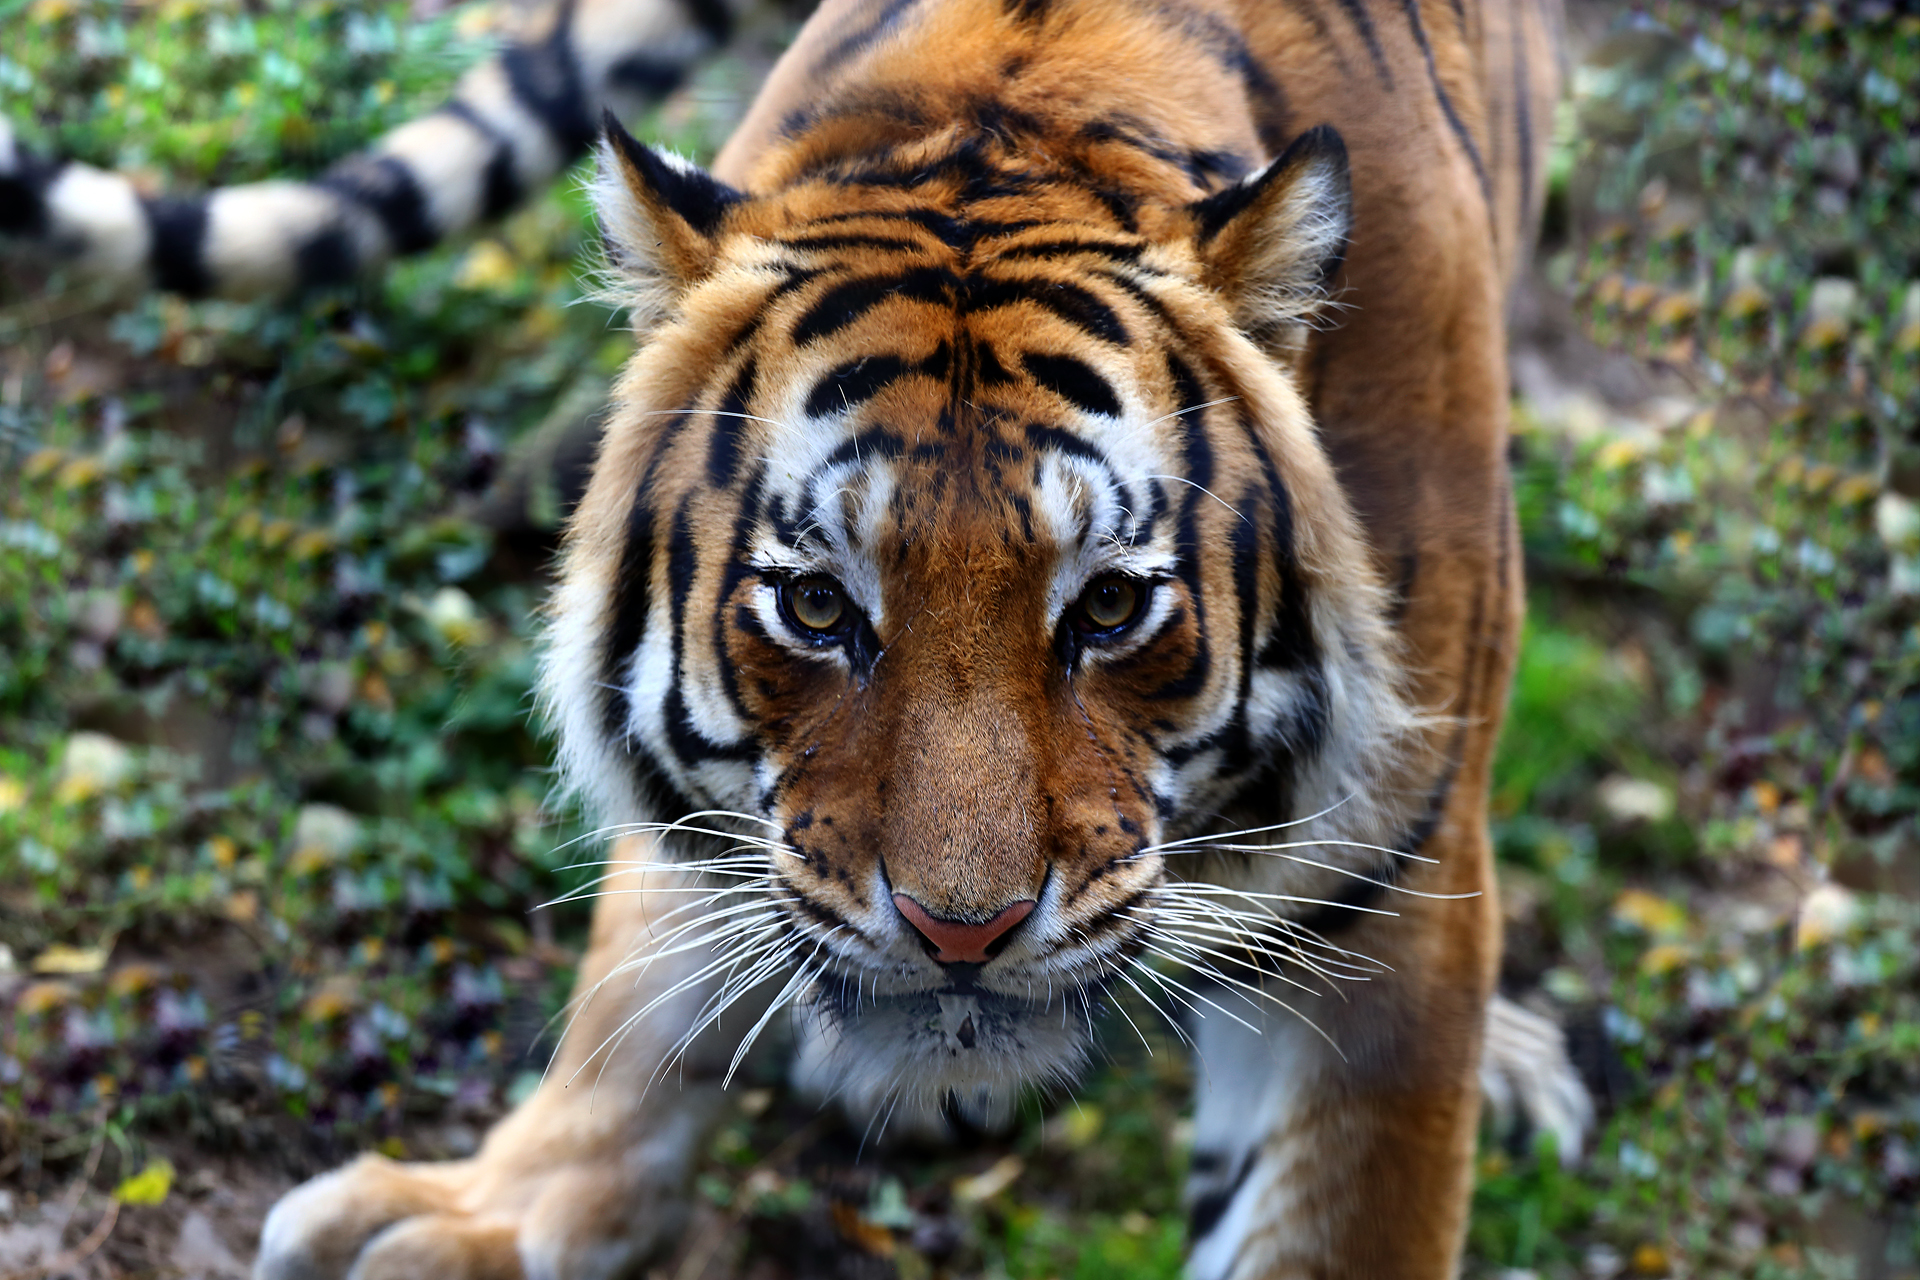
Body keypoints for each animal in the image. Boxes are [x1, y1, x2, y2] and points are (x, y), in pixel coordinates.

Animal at [1, 0, 1591, 1276]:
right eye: (818, 604)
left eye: (1110, 606)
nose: (964, 934)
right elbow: (640, 982)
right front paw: (503, 1215)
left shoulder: (1386, 908)